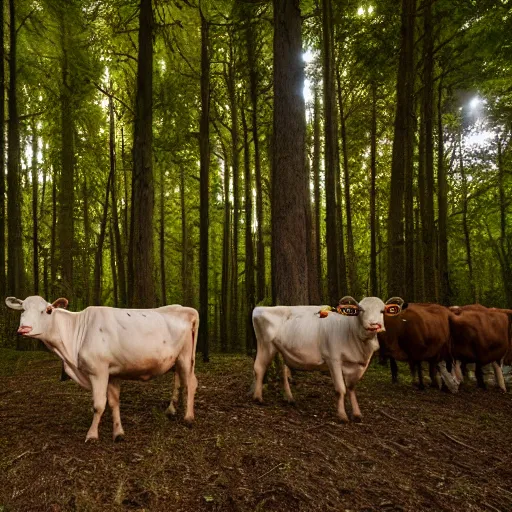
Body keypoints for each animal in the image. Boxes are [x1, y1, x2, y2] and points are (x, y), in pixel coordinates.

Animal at [252, 294, 404, 422]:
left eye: (382, 311)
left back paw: (289, 398)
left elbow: (351, 387)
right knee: (259, 367)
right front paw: (342, 415)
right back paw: (258, 397)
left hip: (280, 349)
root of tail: (260, 308)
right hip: (265, 344)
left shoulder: (357, 365)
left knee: (283, 371)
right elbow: (340, 389)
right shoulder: (333, 359)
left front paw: (356, 414)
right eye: (361, 310)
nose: (374, 325)